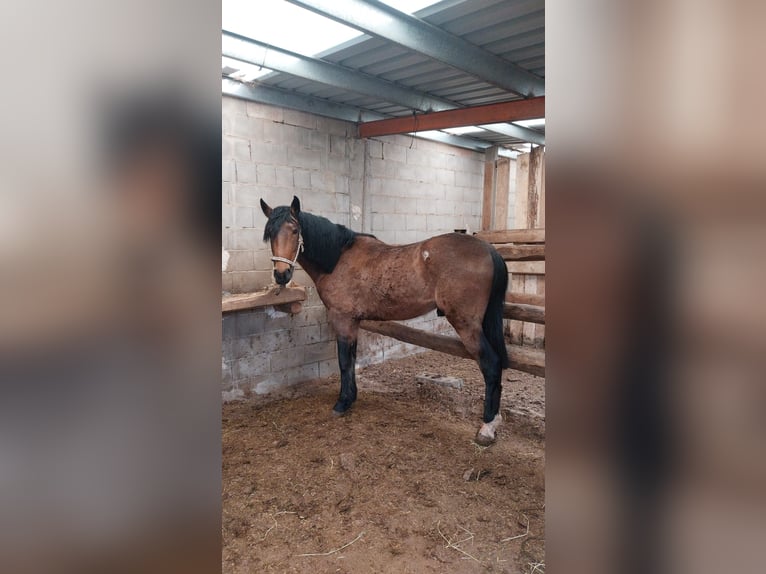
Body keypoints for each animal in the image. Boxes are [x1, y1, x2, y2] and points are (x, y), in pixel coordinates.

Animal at [260, 197, 510, 446]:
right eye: (270, 233)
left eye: (294, 230)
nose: (281, 275)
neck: (338, 259)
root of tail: (488, 249)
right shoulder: (354, 322)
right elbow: (352, 359)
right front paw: (351, 397)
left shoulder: (343, 319)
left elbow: (344, 362)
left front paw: (342, 403)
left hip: (466, 325)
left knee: (491, 364)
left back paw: (487, 426)